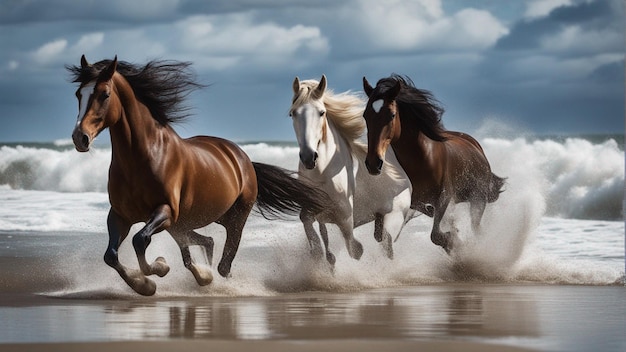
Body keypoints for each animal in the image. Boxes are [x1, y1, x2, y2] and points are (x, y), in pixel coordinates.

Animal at [67, 55, 332, 296]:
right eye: (79, 94)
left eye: (104, 94)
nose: (80, 138)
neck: (143, 157)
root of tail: (243, 158)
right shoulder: (121, 215)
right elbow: (111, 256)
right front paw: (144, 283)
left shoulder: (165, 211)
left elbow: (140, 240)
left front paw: (157, 270)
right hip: (189, 221)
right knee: (205, 243)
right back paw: (204, 276)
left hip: (233, 217)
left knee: (223, 263)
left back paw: (213, 279)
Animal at [288, 75, 414, 266]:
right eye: (293, 113)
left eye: (321, 112)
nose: (309, 157)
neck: (322, 174)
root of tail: (405, 180)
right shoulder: (313, 211)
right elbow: (315, 239)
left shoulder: (345, 217)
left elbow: (355, 250)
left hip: (393, 219)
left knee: (387, 246)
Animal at [360, 75, 502, 253]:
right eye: (365, 115)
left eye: (392, 115)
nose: (373, 163)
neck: (420, 160)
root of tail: (476, 146)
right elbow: (380, 235)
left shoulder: (444, 197)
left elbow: (436, 235)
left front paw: (454, 243)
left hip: (478, 198)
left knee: (477, 229)